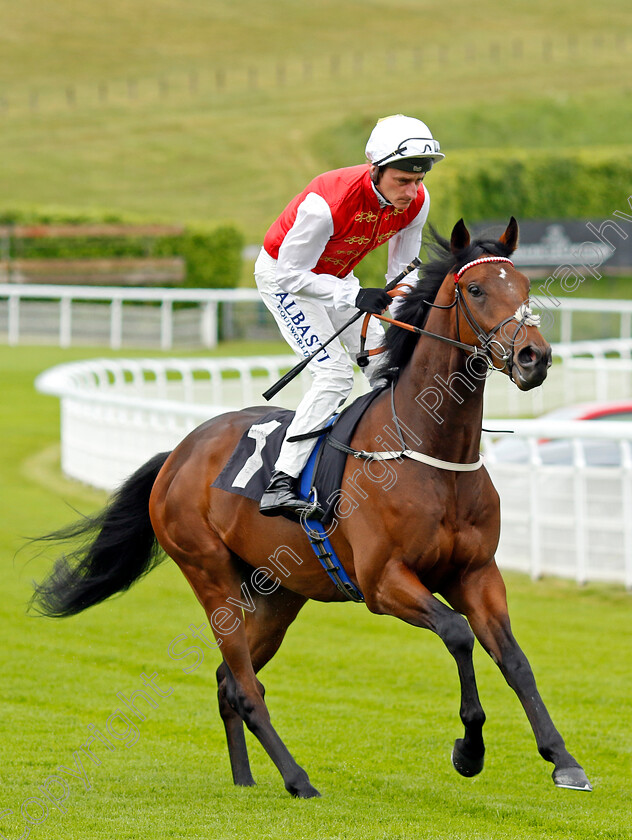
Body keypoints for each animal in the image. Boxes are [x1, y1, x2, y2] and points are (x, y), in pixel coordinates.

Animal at [30, 217, 592, 796]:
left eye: (524, 287)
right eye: (476, 289)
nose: (534, 357)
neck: (430, 452)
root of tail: (179, 454)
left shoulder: (476, 572)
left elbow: (514, 658)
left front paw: (562, 758)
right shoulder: (383, 581)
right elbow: (458, 633)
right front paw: (469, 749)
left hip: (277, 594)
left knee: (228, 682)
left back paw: (246, 780)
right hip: (210, 575)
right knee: (244, 686)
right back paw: (298, 779)